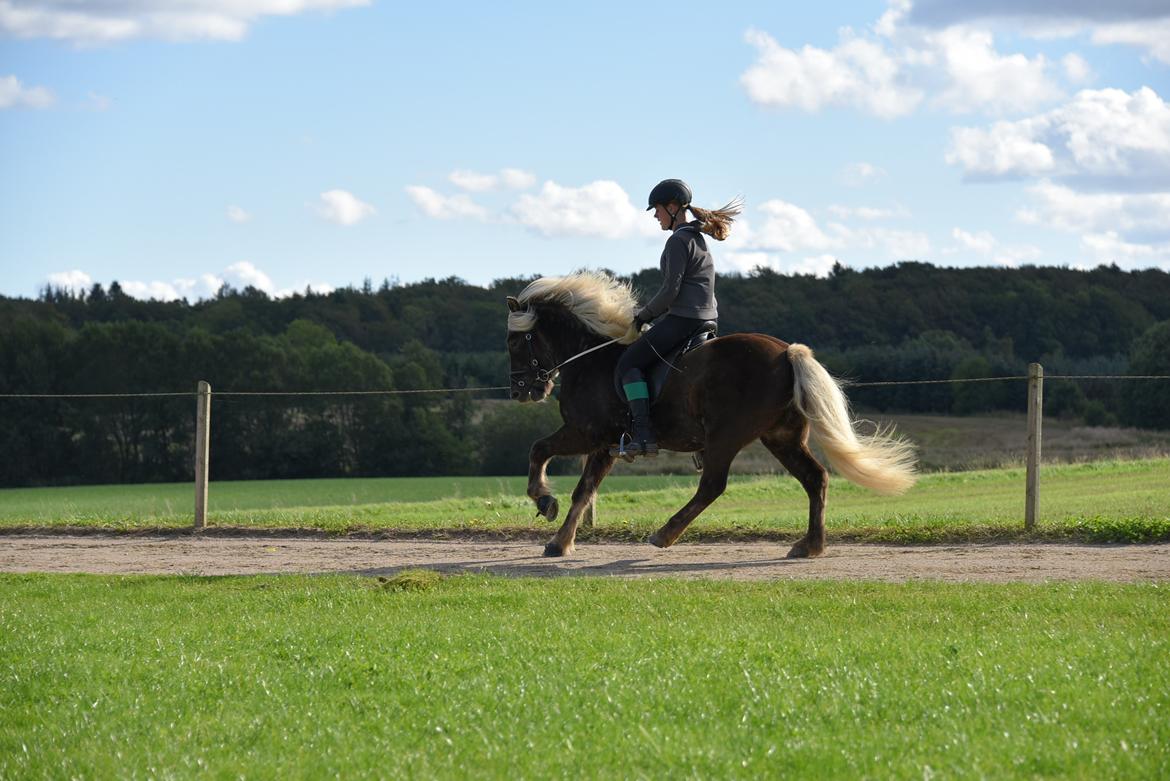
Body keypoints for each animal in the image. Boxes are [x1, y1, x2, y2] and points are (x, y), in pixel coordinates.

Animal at [503, 271, 912, 558]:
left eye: (513, 341)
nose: (521, 392)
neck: (590, 356)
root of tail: (786, 353)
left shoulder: (585, 432)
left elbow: (539, 451)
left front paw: (544, 501)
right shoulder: (604, 445)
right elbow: (583, 492)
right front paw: (560, 542)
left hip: (725, 436)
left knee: (712, 485)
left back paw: (664, 534)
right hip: (780, 437)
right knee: (815, 478)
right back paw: (809, 546)